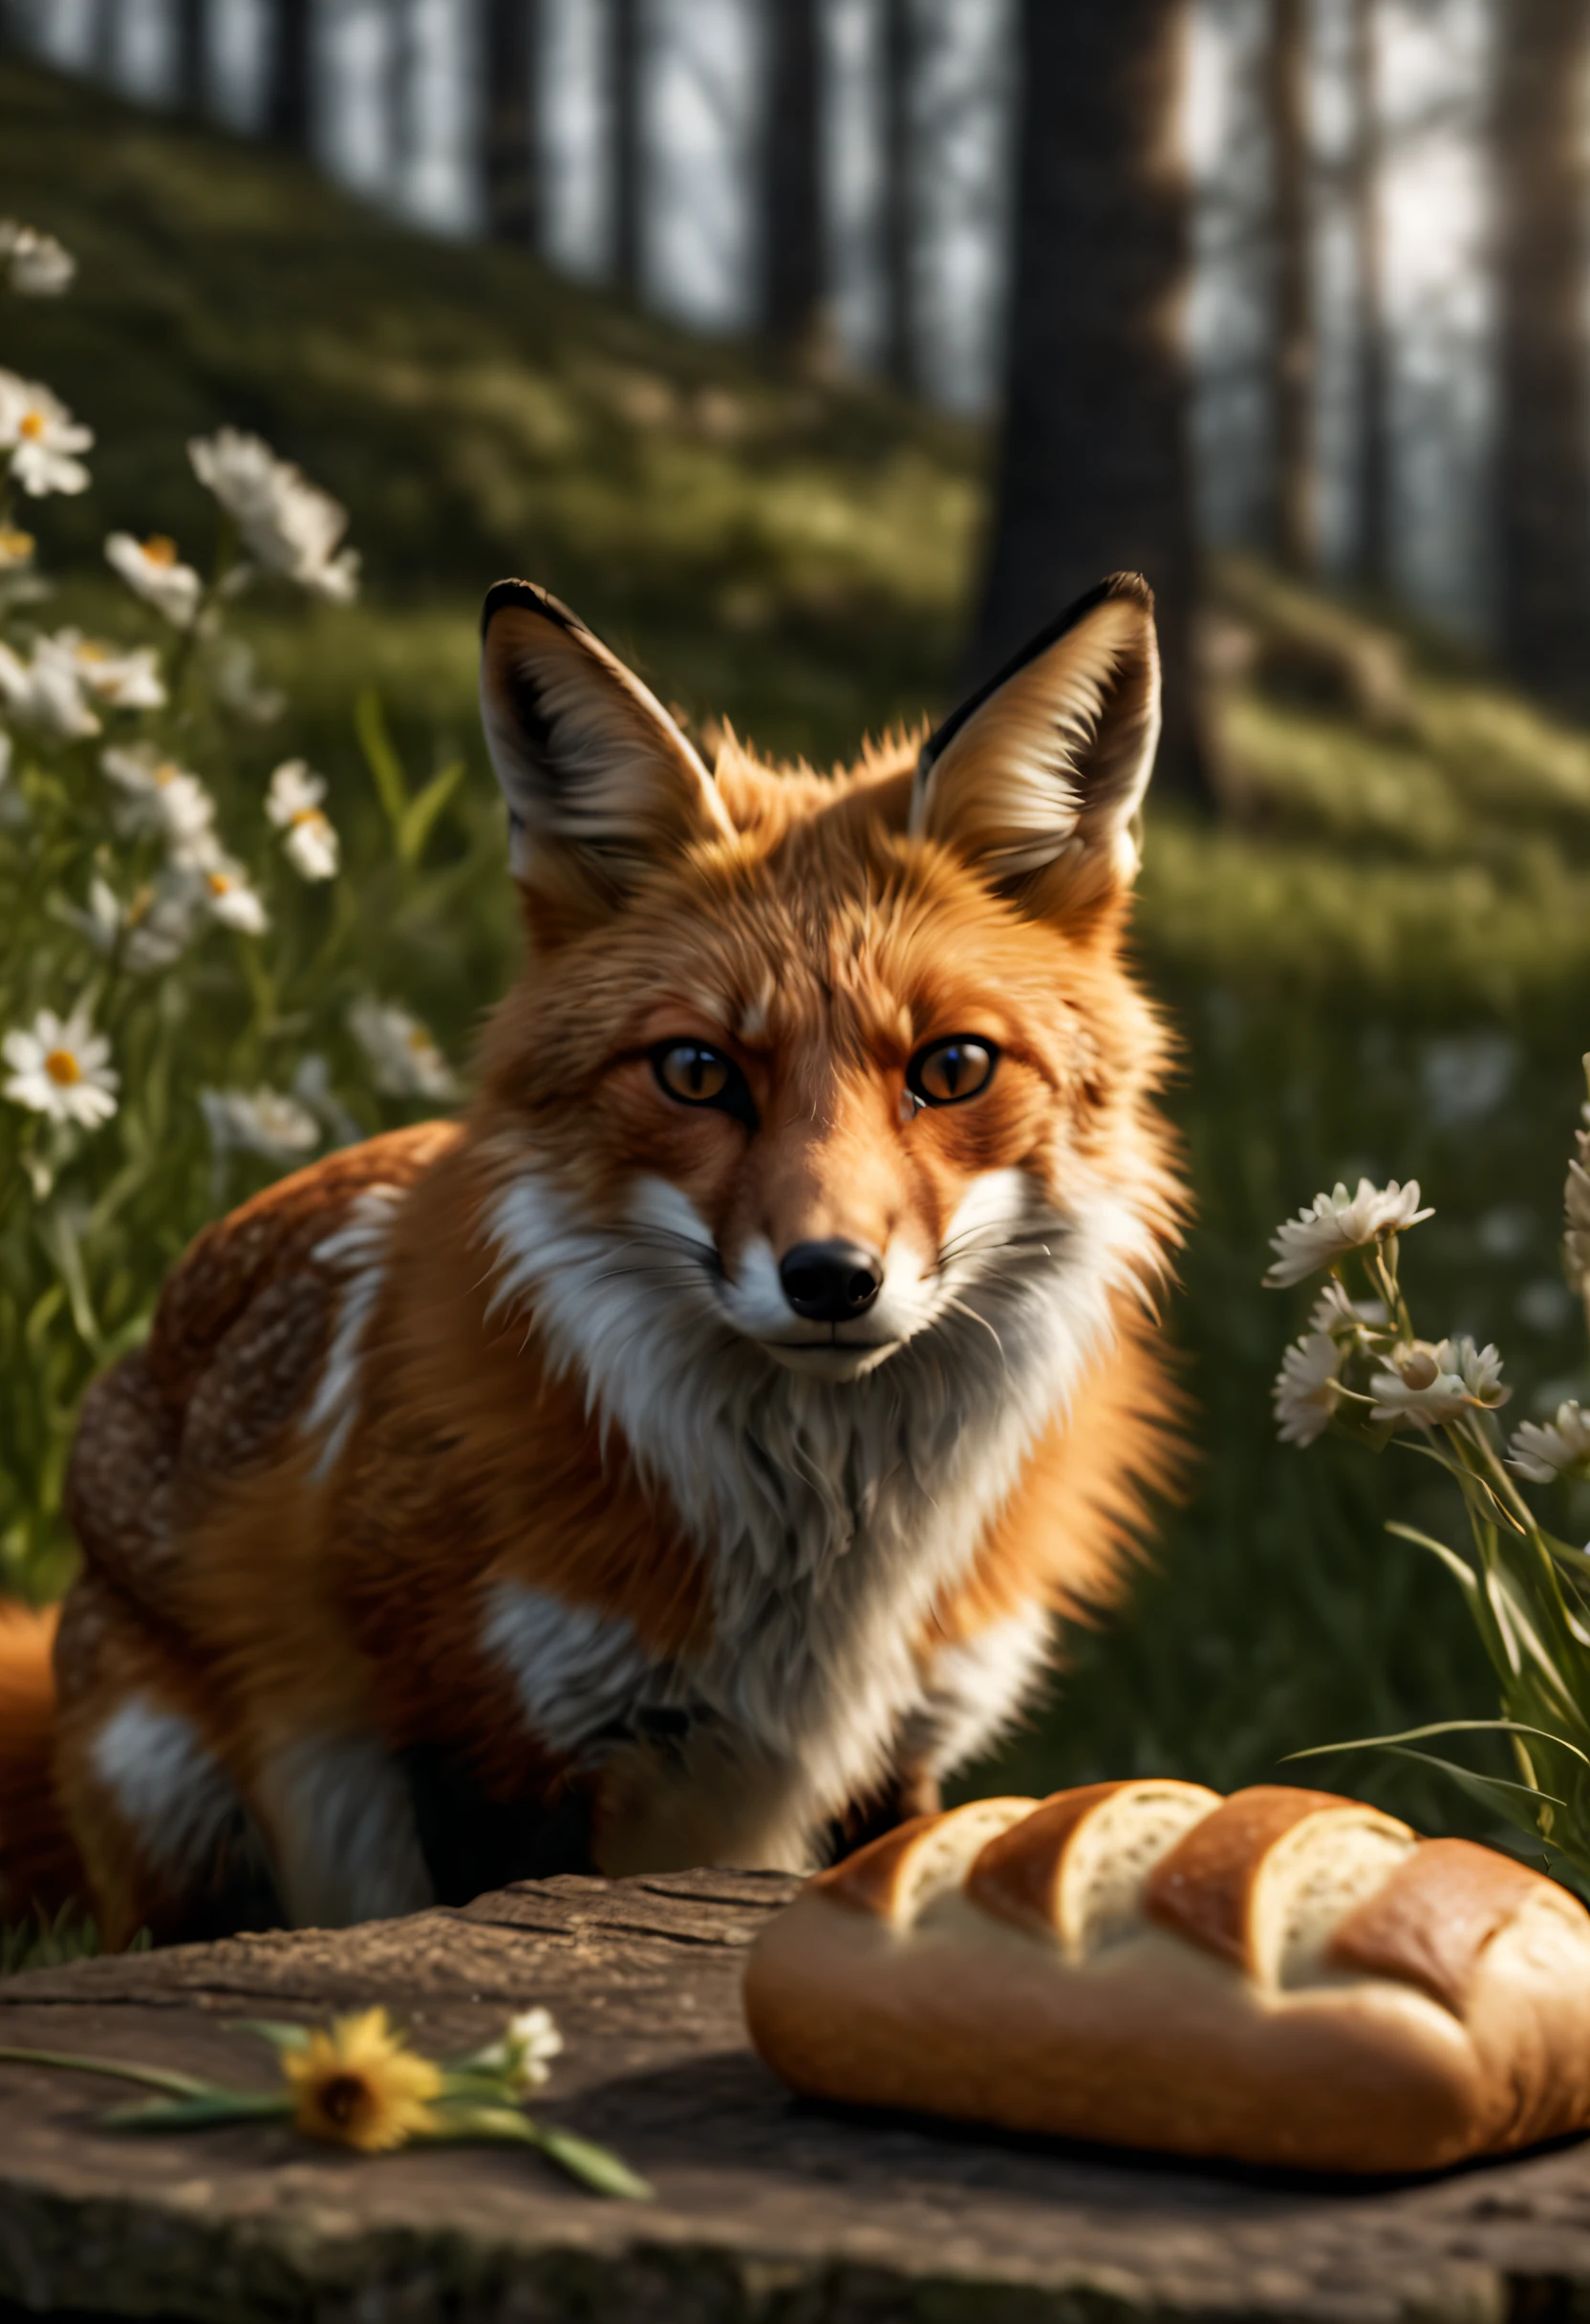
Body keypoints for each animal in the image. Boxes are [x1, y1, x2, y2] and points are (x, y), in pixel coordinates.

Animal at [0, 571, 1180, 1951]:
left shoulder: (905, 1751)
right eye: (697, 1072)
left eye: (951, 1067)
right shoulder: (488, 1748)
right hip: (180, 1793)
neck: (817, 1588)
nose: (832, 1279)